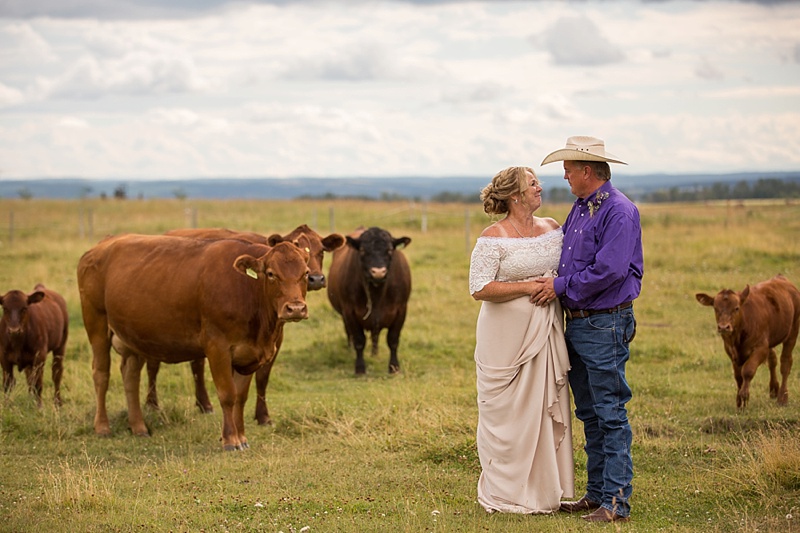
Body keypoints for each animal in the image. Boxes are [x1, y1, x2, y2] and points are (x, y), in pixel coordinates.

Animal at [77, 234, 310, 448]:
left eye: (306, 273)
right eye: (271, 274)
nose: (296, 308)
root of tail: (101, 245)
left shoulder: (248, 354)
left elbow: (240, 398)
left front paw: (242, 437)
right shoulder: (217, 347)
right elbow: (227, 395)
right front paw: (230, 439)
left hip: (131, 335)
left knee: (131, 376)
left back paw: (138, 427)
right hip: (97, 323)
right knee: (101, 374)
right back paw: (103, 427)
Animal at [160, 222, 344, 422]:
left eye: (321, 251)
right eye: (272, 274)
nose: (316, 279)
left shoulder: (274, 342)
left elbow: (262, 377)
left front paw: (262, 415)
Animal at [326, 227, 412, 372]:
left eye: (390, 250)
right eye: (362, 250)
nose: (378, 272)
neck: (377, 295)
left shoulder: (401, 310)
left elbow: (393, 340)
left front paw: (394, 367)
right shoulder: (350, 312)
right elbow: (359, 340)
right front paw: (360, 368)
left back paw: (374, 353)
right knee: (349, 332)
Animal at [692, 274, 800, 408]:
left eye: (736, 308)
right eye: (715, 308)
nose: (723, 327)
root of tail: (781, 278)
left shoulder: (760, 348)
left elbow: (747, 371)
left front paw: (744, 396)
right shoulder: (731, 352)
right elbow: (738, 376)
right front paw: (739, 402)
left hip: (793, 330)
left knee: (785, 363)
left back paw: (783, 397)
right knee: (773, 360)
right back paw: (774, 390)